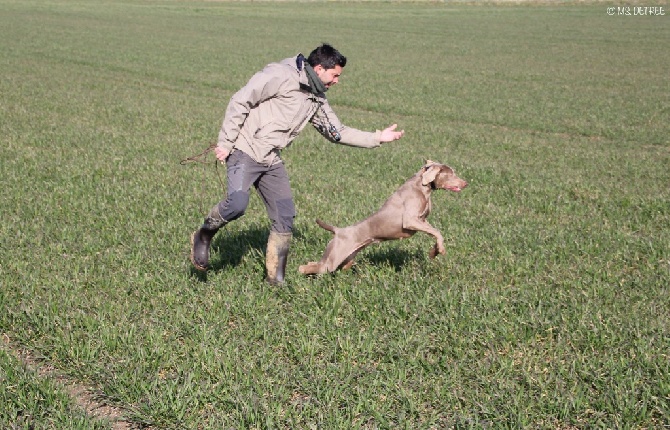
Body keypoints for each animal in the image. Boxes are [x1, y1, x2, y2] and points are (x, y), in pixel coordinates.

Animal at [302, 161, 470, 276]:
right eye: (451, 173)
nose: (466, 183)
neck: (421, 186)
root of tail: (338, 231)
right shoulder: (410, 220)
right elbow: (437, 232)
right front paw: (440, 249)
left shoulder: (422, 220)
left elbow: (434, 232)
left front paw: (434, 251)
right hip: (333, 258)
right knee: (307, 267)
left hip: (347, 258)